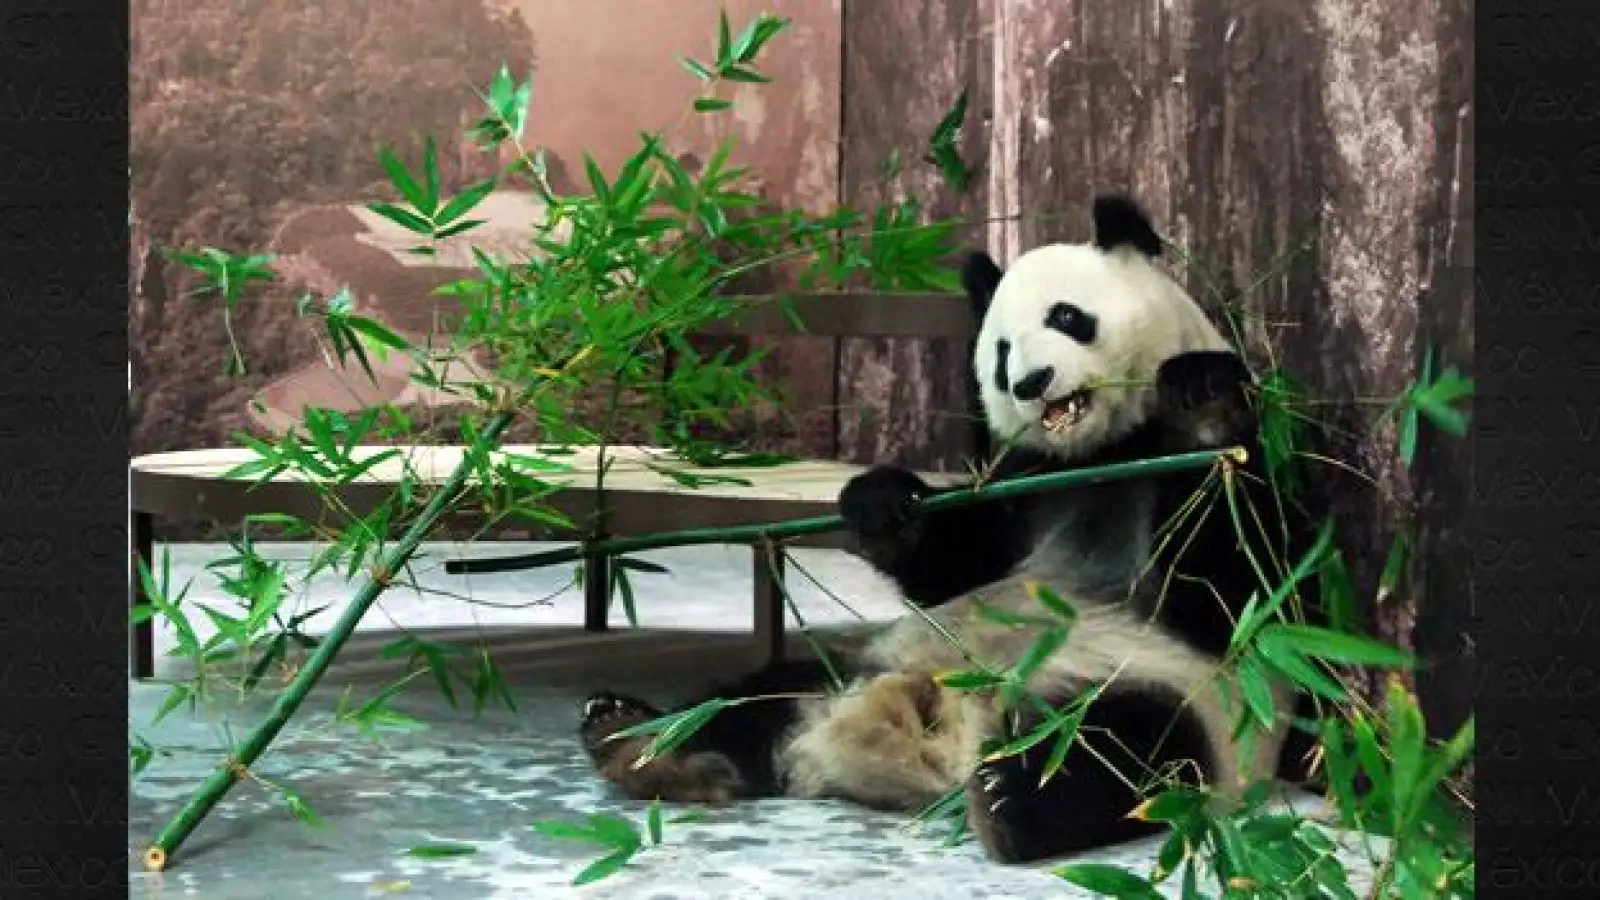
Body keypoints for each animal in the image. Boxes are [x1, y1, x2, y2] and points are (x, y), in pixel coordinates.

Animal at [576, 193, 1328, 864]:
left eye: (1067, 316)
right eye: (999, 351)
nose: (1030, 382)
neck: (1101, 453)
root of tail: (940, 740)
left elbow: (1243, 586)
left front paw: (1202, 406)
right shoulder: (1024, 484)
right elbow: (956, 561)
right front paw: (881, 503)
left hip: (1162, 696)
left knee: (1126, 752)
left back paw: (1009, 802)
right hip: (852, 668)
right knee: (749, 699)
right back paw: (636, 741)